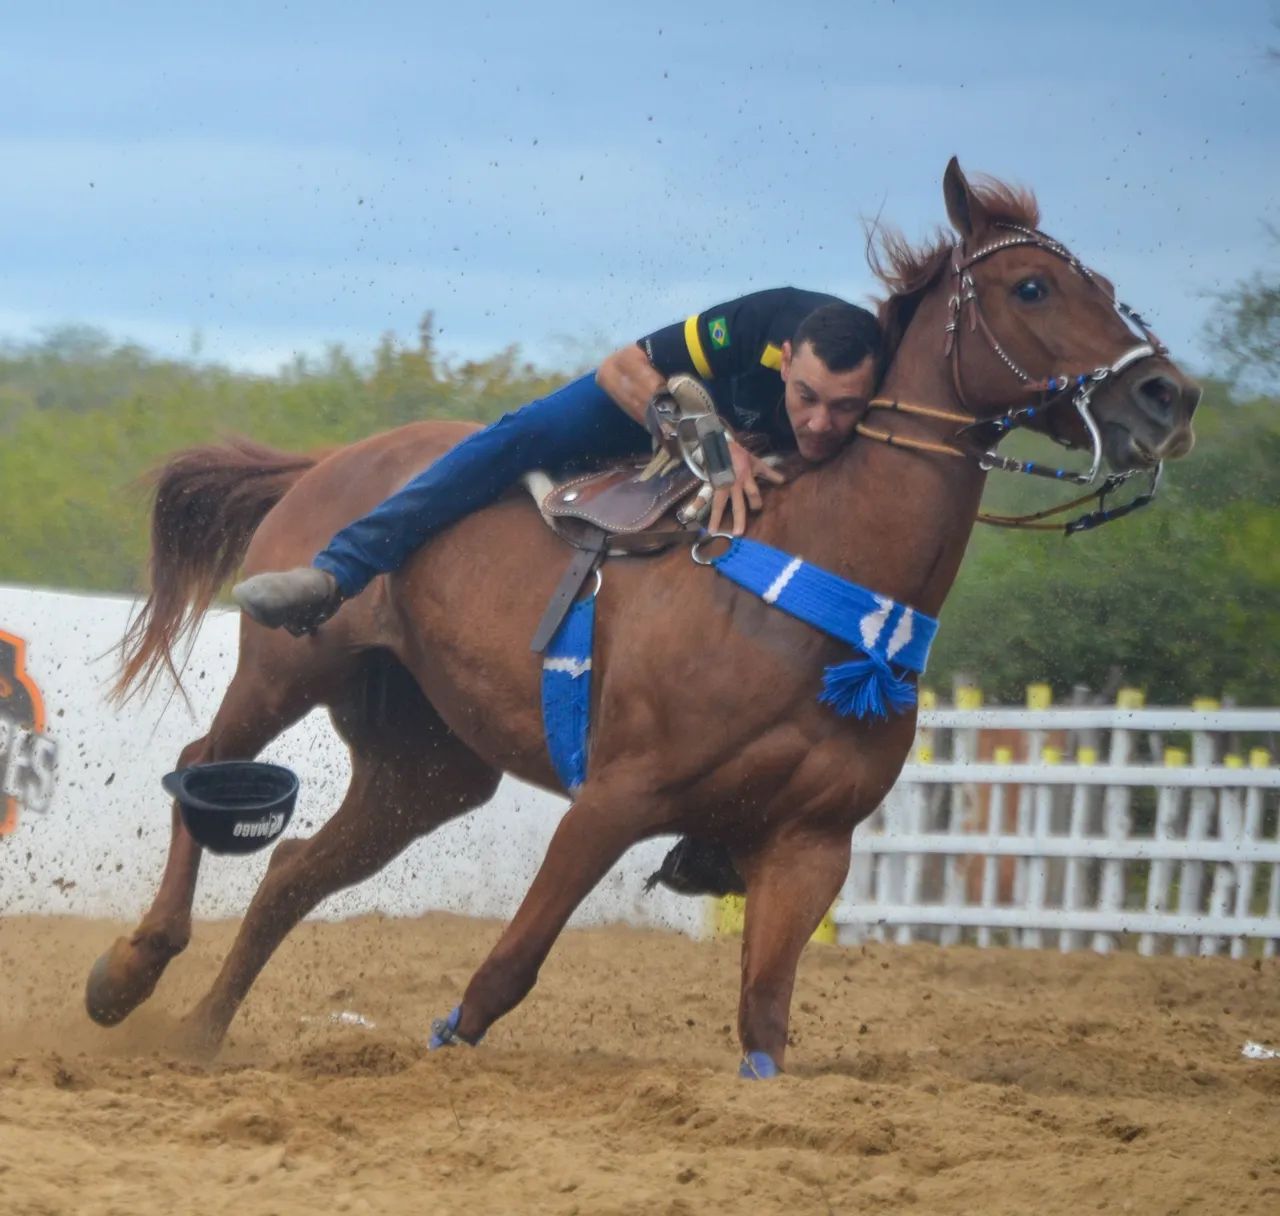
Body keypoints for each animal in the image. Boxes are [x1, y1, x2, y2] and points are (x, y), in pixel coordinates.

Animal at [85, 159, 1199, 1075]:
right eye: (1031, 287)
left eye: (1104, 283)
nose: (1167, 395)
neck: (816, 584)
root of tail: (328, 462)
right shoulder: (613, 800)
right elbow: (502, 975)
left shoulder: (811, 843)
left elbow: (763, 1019)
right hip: (288, 669)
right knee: (202, 762)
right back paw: (128, 973)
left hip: (426, 767)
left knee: (290, 871)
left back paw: (196, 1035)